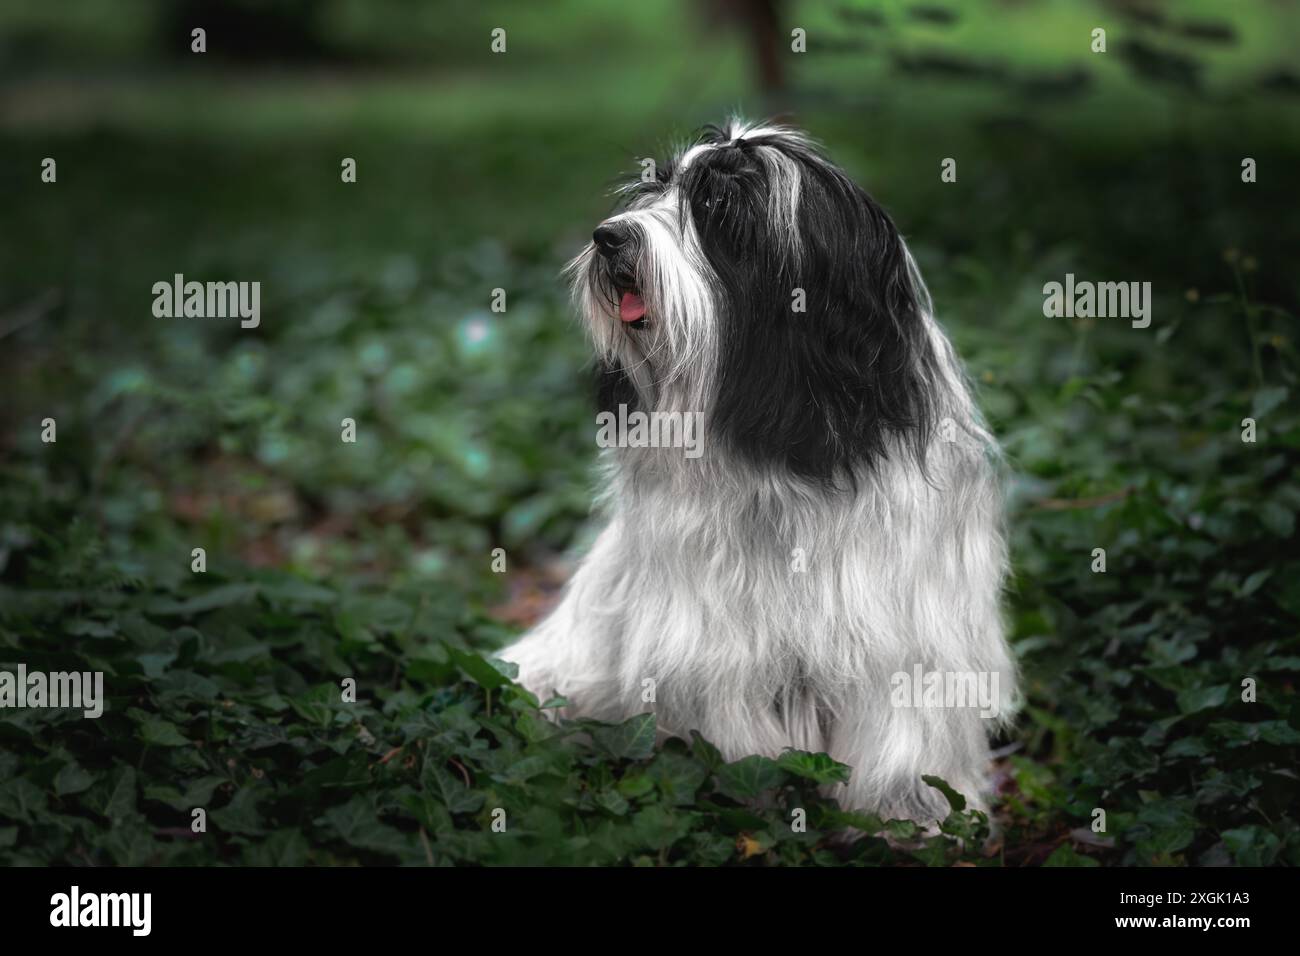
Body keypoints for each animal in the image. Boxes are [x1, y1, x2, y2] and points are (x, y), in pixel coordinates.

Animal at [501, 117, 1019, 822]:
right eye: (654, 187)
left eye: (720, 207)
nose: (609, 237)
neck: (778, 424)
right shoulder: (711, 632)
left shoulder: (903, 625)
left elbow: (904, 723)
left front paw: (911, 811)